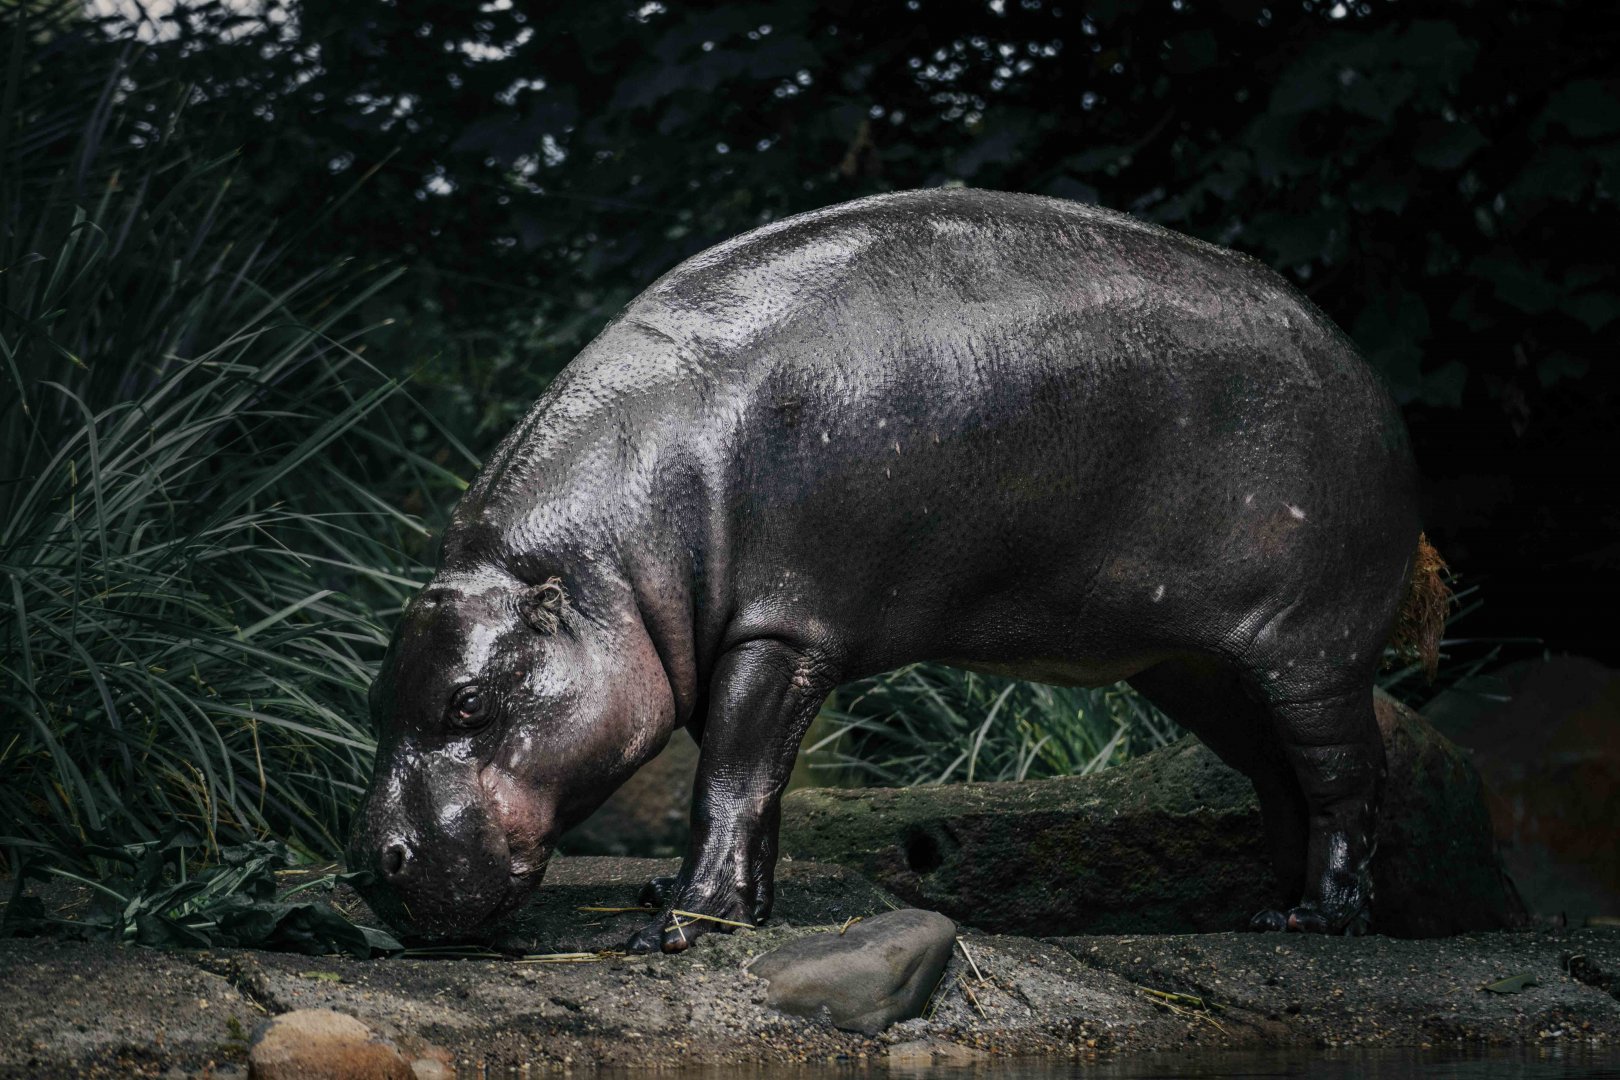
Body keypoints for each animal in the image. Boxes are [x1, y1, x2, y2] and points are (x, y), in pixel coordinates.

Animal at [348, 188, 1447, 952]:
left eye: (468, 704)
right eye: (373, 698)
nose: (369, 868)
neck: (599, 565)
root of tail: (1364, 371)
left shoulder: (780, 628)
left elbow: (729, 782)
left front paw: (673, 927)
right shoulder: (740, 644)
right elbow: (760, 788)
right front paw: (725, 906)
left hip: (1310, 651)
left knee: (1344, 773)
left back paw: (1324, 919)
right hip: (1194, 664)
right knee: (1271, 771)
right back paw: (1264, 910)